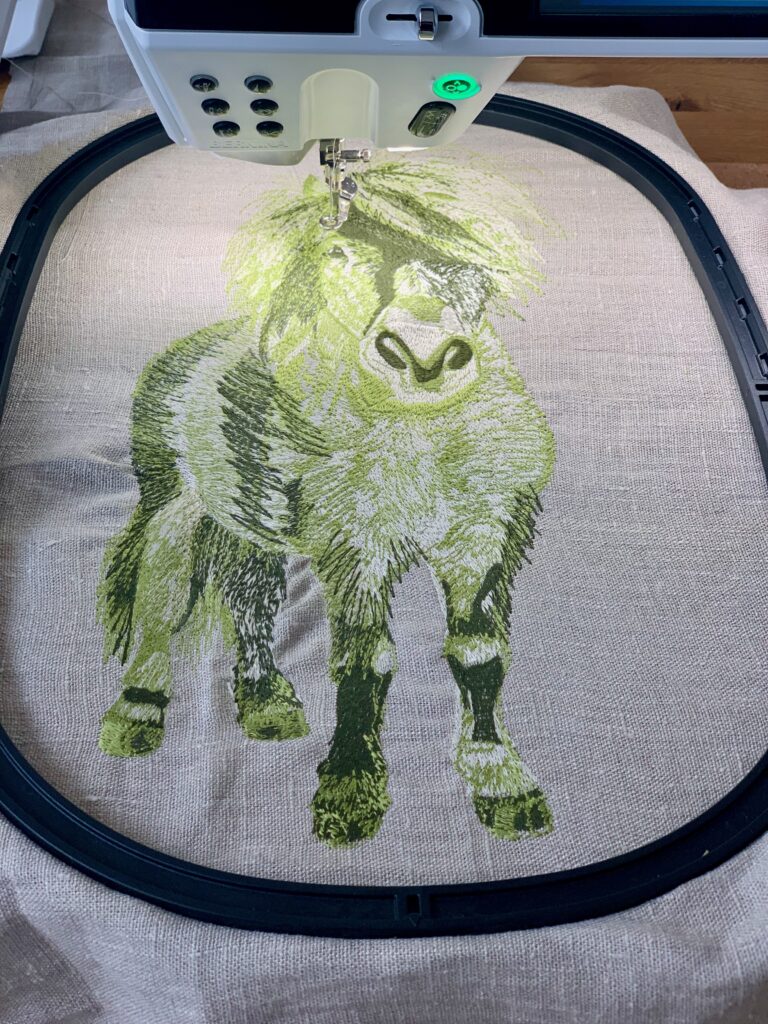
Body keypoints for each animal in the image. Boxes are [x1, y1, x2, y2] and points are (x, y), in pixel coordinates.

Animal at [97, 156, 556, 847]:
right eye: (338, 253)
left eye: (477, 267)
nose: (423, 355)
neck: (419, 439)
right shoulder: (356, 544)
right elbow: (366, 660)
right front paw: (350, 792)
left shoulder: (479, 538)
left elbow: (479, 654)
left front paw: (501, 782)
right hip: (174, 505)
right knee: (160, 596)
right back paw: (136, 715)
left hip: (249, 523)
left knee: (251, 597)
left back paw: (267, 705)